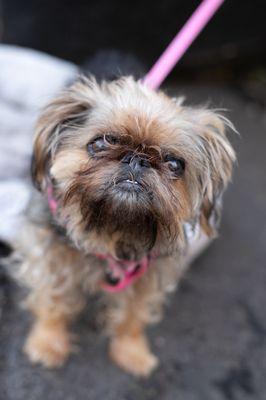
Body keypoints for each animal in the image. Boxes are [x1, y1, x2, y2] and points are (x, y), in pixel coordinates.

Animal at [13, 76, 236, 378]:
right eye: (101, 143)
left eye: (174, 163)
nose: (136, 159)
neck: (113, 232)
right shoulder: (51, 257)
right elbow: (54, 299)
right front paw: (48, 341)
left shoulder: (148, 277)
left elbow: (133, 314)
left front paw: (132, 351)